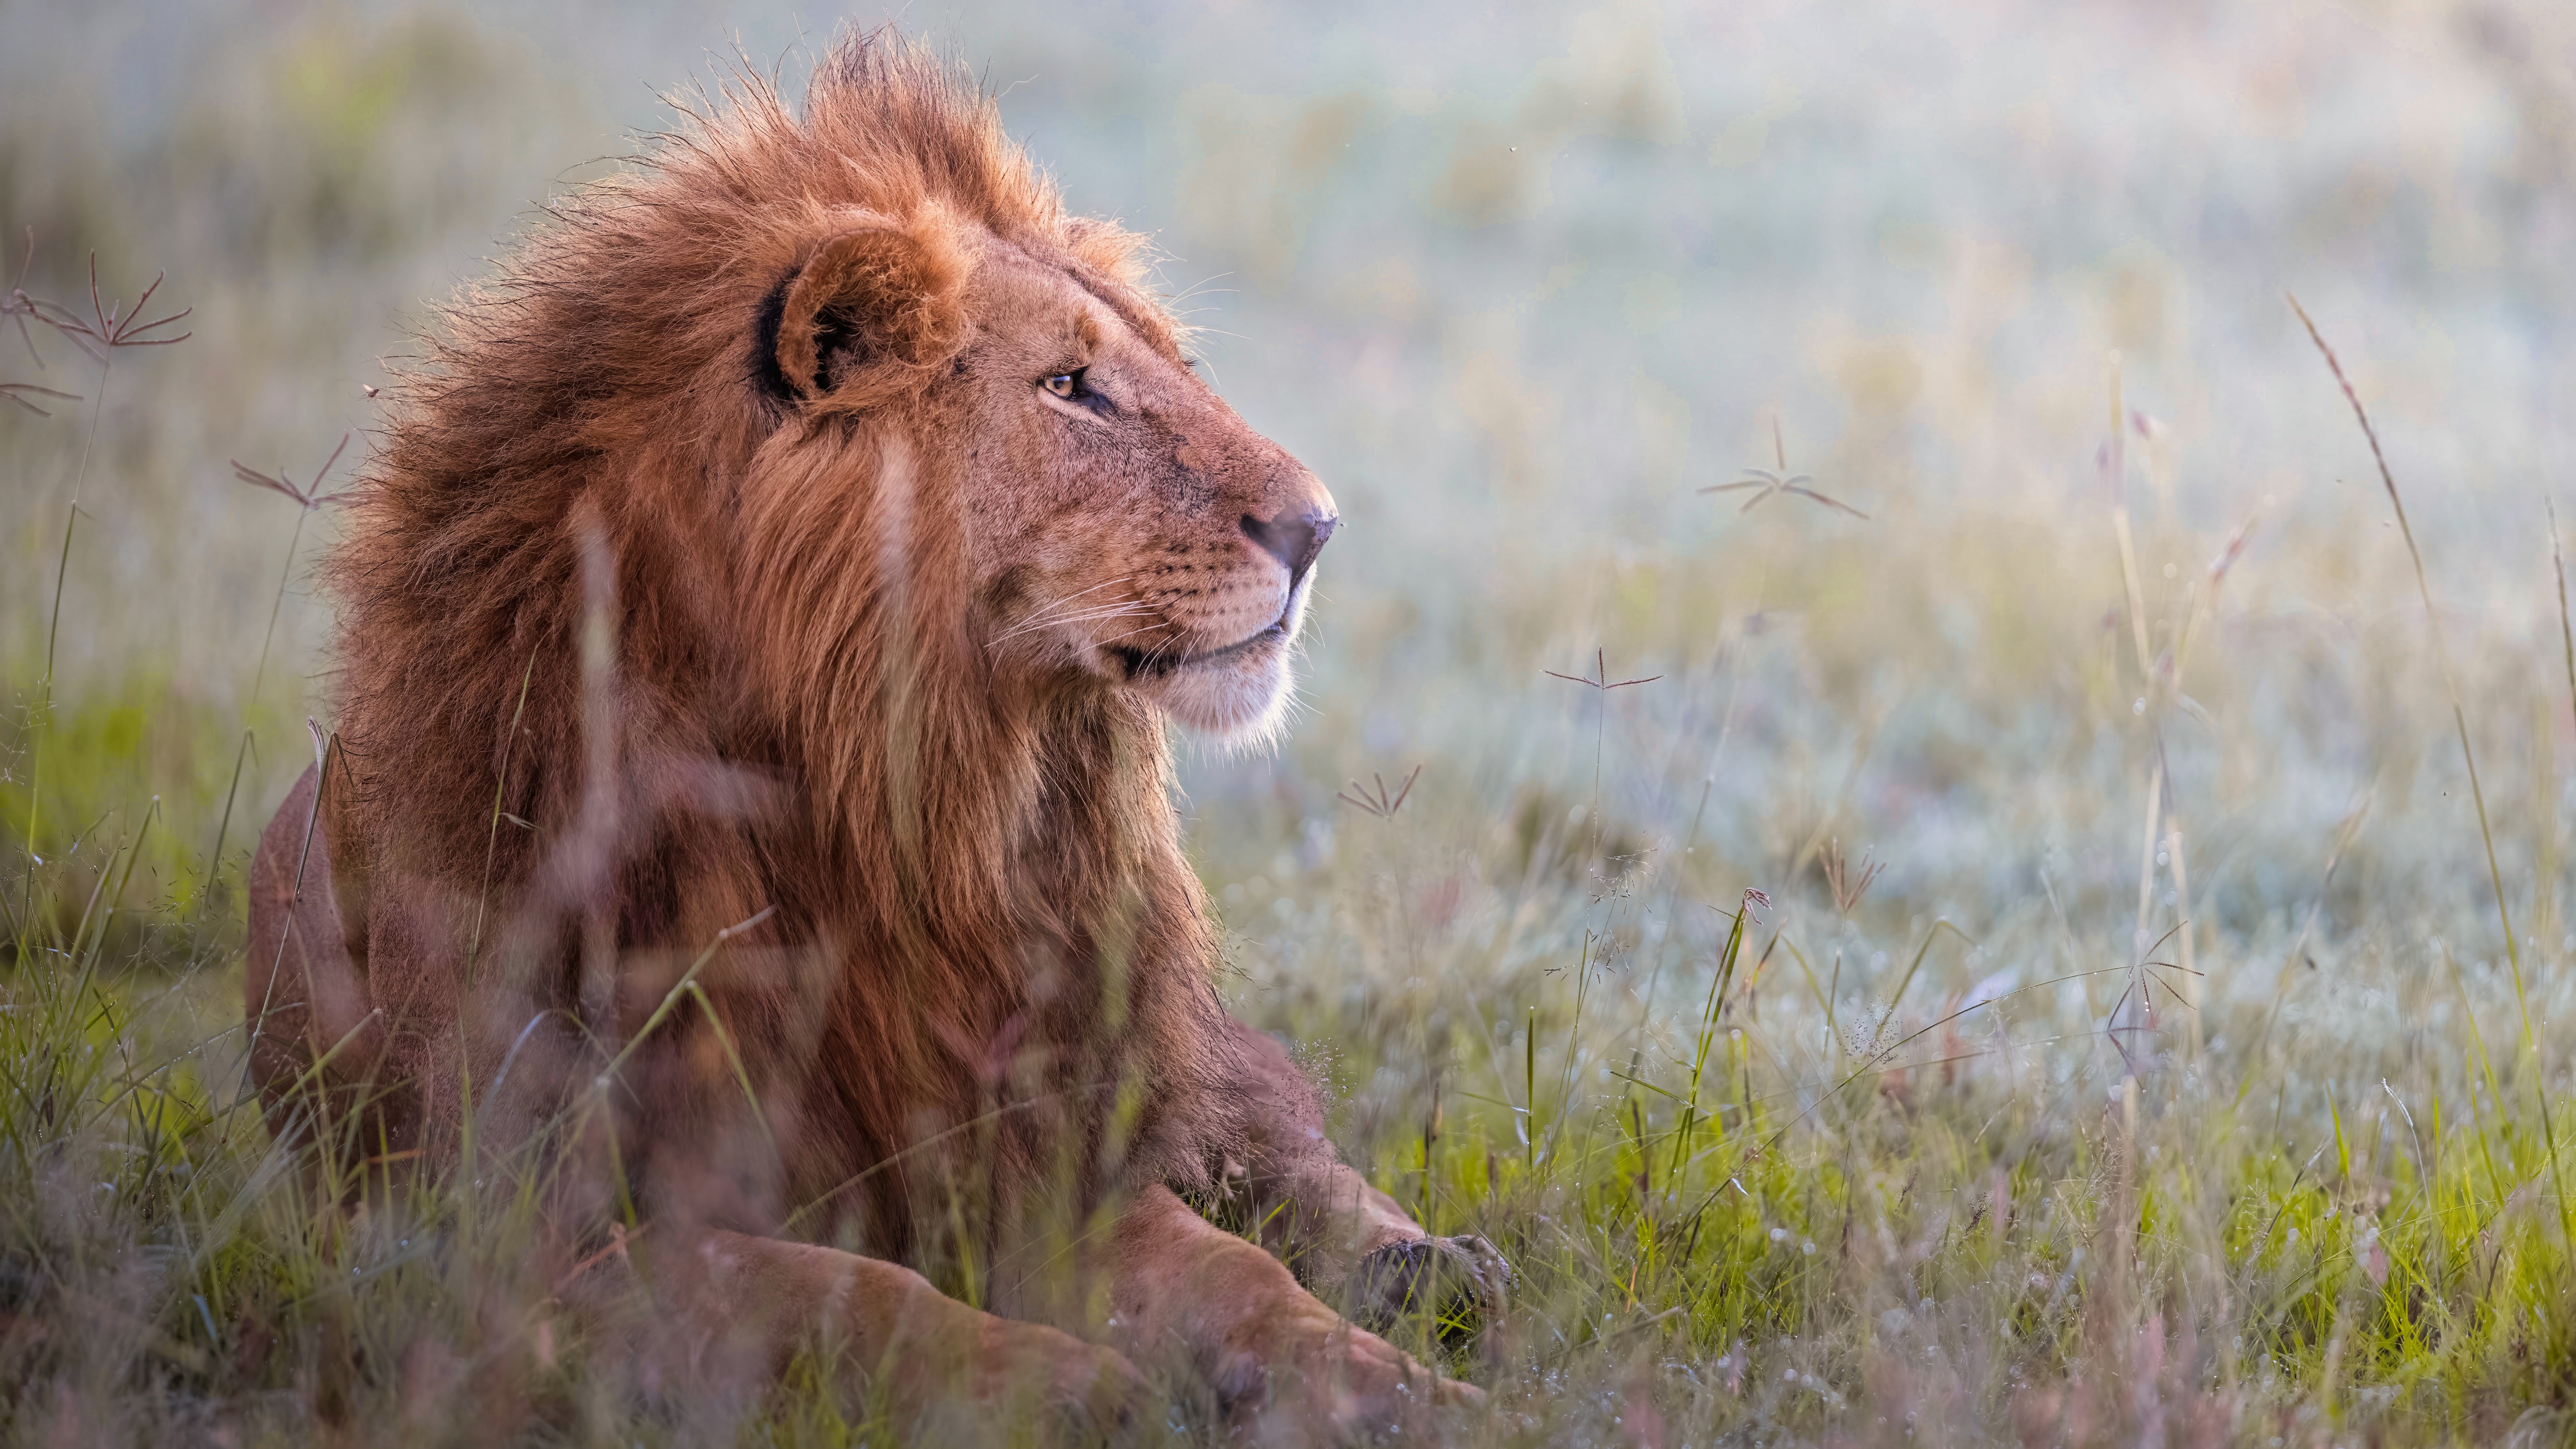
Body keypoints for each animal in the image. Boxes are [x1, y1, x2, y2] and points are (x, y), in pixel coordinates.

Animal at [242, 29, 1507, 1441]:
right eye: (1070, 389)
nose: (1320, 527)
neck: (896, 818)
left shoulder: (1036, 1151)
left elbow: (1235, 1274)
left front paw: (1402, 1391)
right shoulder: (523, 1252)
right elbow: (838, 1293)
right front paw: (1071, 1390)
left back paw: (1432, 1270)